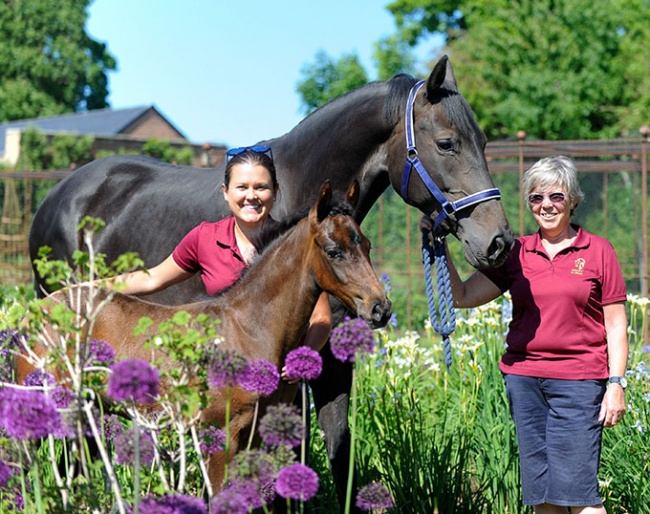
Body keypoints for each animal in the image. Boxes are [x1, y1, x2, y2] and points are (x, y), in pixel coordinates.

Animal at [16, 179, 390, 492]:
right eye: (334, 251)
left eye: (368, 245)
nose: (381, 309)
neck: (248, 328)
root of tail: (35, 312)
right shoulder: (219, 435)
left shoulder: (255, 434)